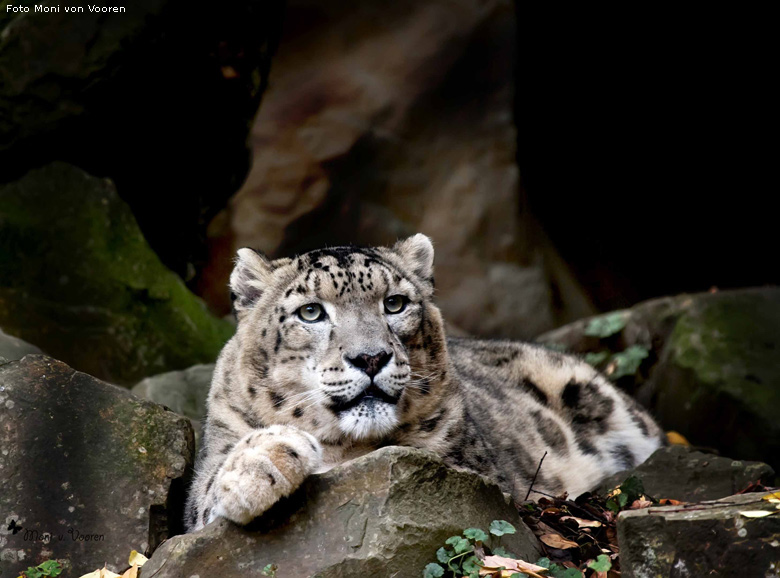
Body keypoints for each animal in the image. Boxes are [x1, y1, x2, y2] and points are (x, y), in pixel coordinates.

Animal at [184, 232, 664, 528]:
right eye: (311, 311)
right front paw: (267, 459)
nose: (371, 357)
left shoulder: (472, 470)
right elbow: (203, 499)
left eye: (395, 303)